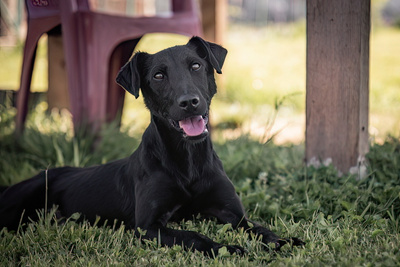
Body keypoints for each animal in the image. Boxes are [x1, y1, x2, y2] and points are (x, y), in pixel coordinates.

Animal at [0, 36, 304, 256]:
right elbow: (194, 236)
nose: (189, 102)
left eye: (196, 65)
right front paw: (227, 248)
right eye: (158, 76)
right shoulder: (148, 227)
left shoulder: (233, 213)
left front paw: (284, 241)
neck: (188, 161)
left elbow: (260, 228)